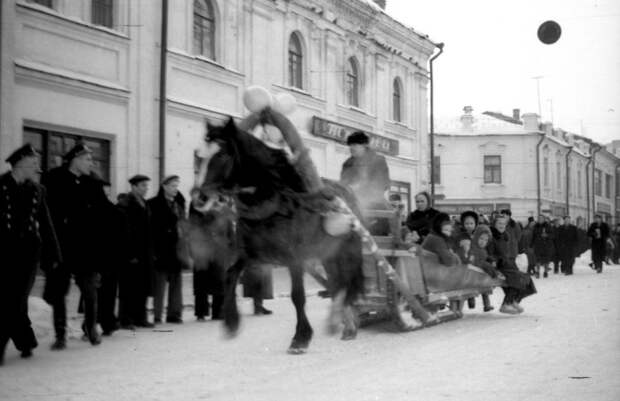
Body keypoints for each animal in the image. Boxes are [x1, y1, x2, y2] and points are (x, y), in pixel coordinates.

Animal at [195, 115, 364, 354]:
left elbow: (297, 296)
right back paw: (342, 322)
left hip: (347, 249)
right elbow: (229, 275)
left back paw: (343, 320)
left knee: (347, 281)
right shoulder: (252, 254)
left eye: (223, 154)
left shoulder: (294, 257)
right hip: (327, 253)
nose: (201, 199)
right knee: (337, 282)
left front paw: (300, 337)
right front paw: (231, 322)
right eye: (199, 155)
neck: (275, 201)